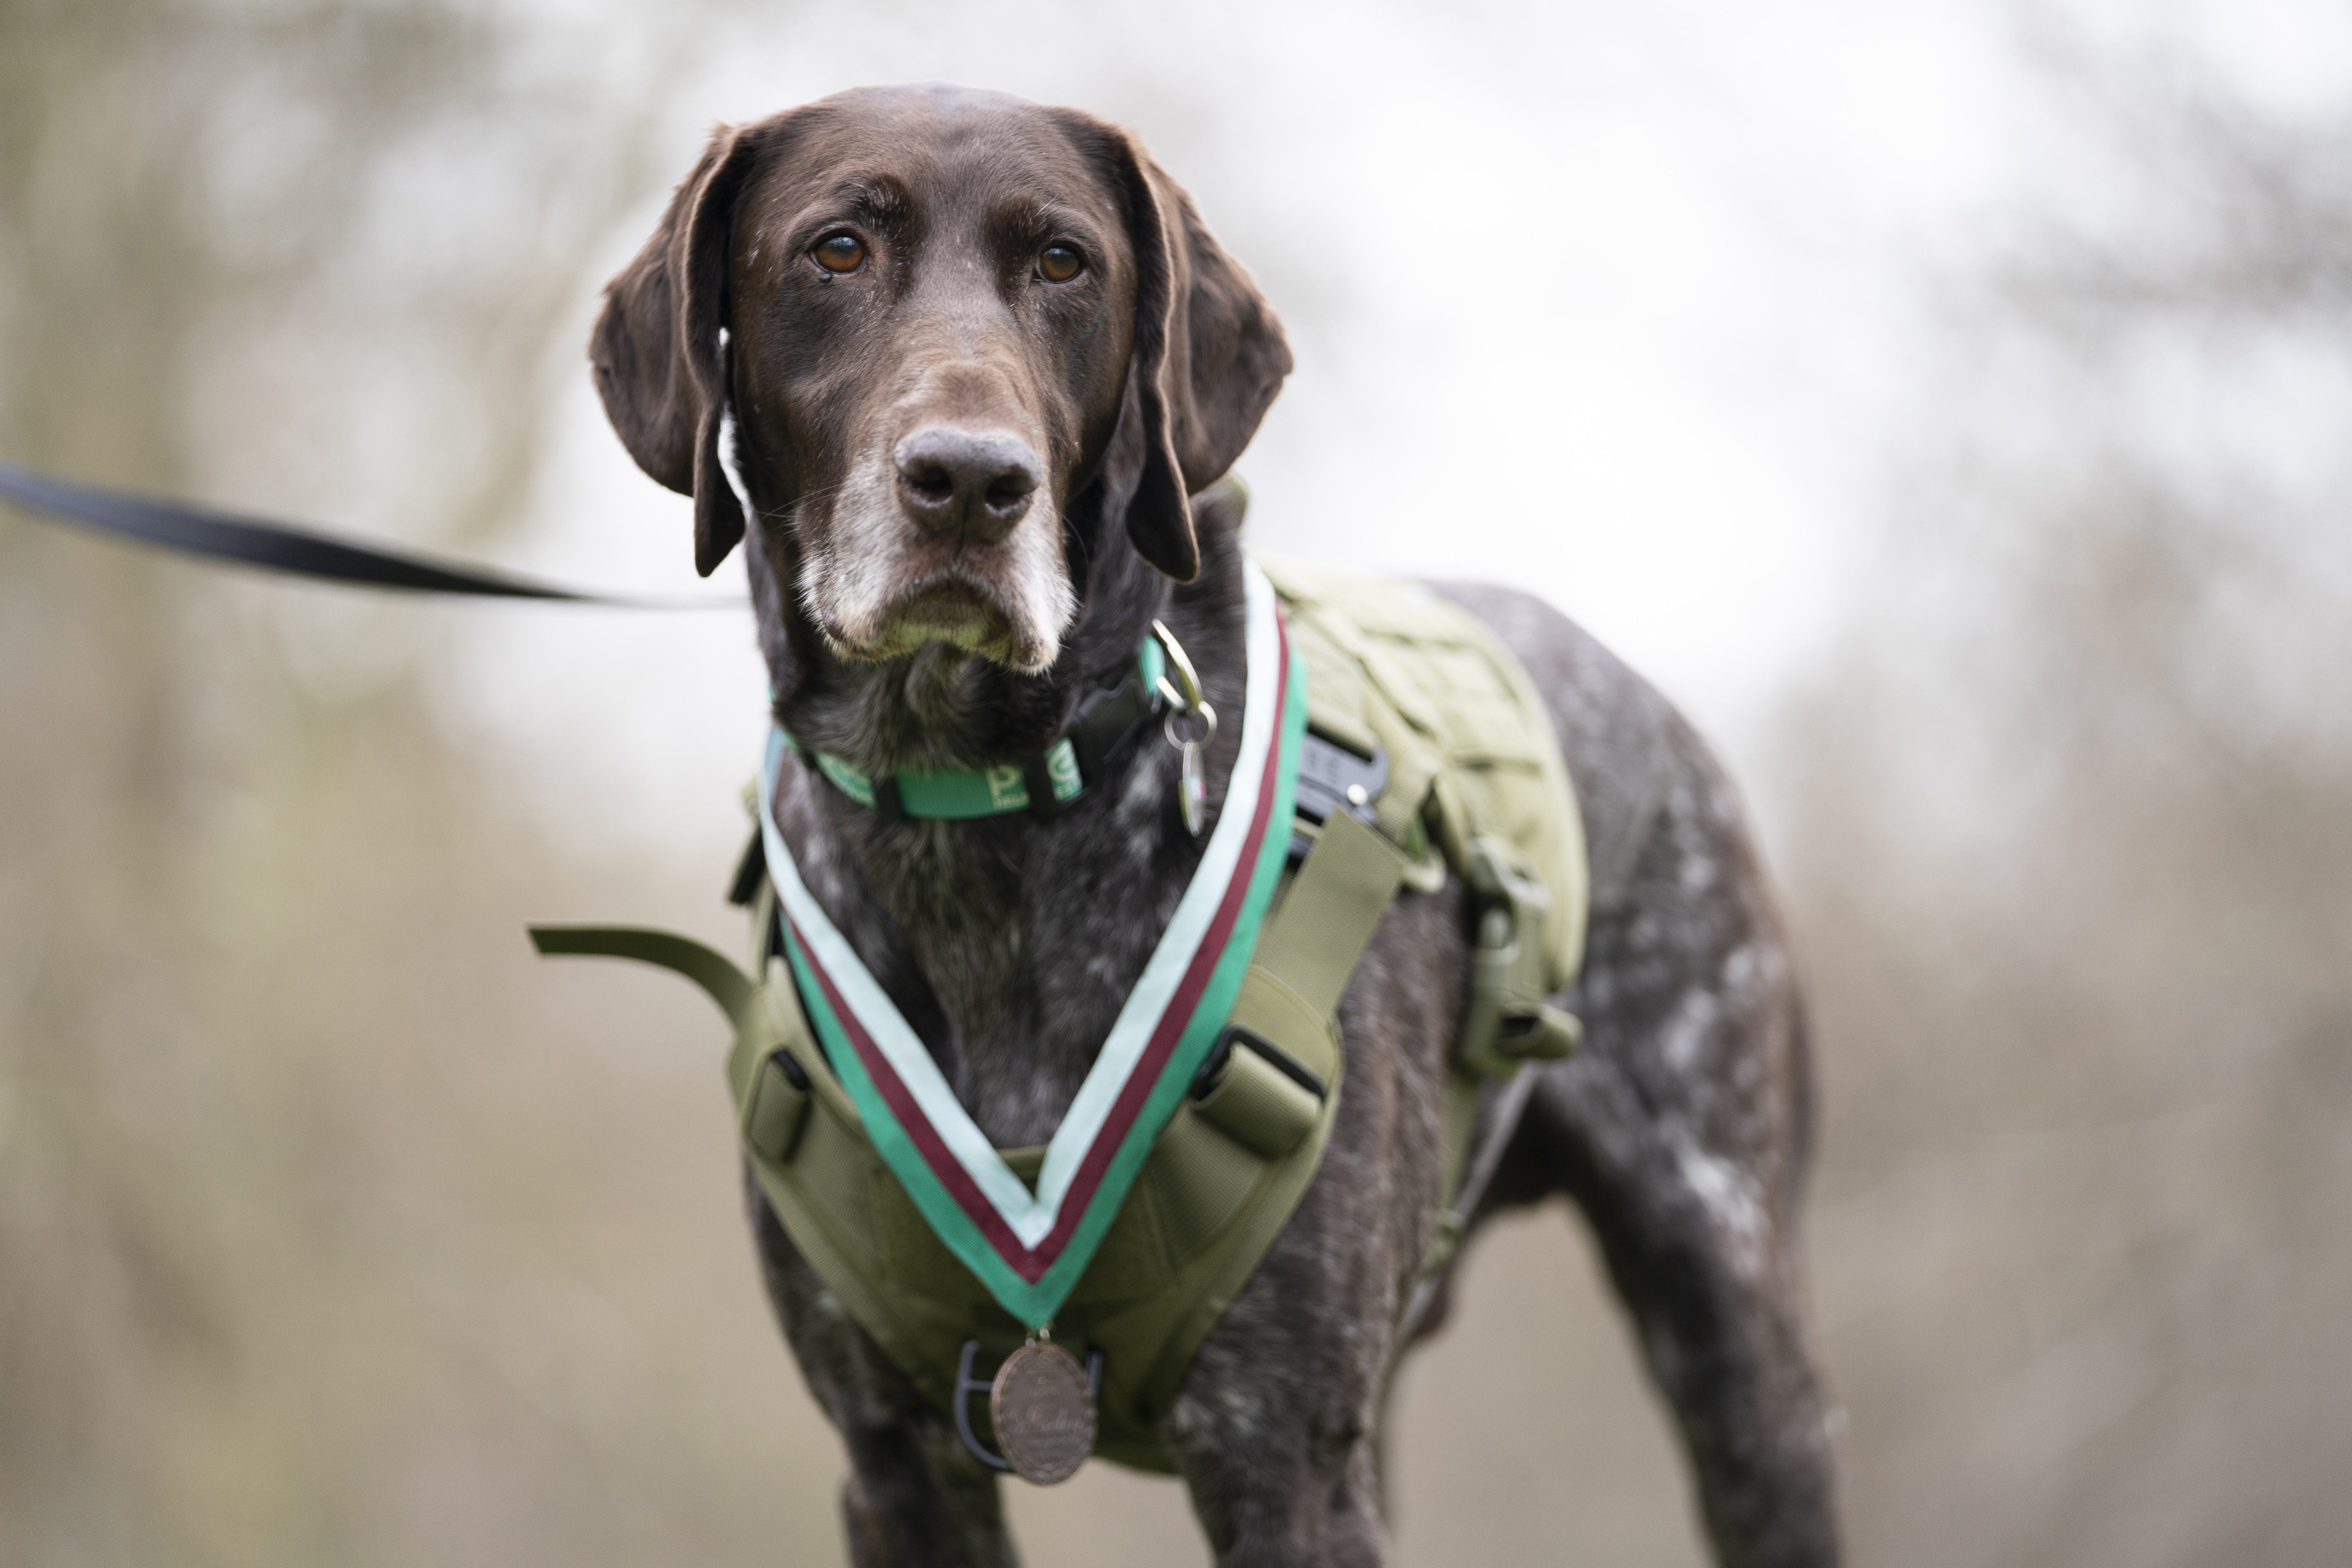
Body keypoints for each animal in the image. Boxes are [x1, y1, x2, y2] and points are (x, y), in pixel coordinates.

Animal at [588, 86, 1834, 1568]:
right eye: (836, 249)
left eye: (1064, 262)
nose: (970, 483)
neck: (975, 809)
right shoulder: (893, 1461)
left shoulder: (1282, 1456)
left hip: (1736, 1327)